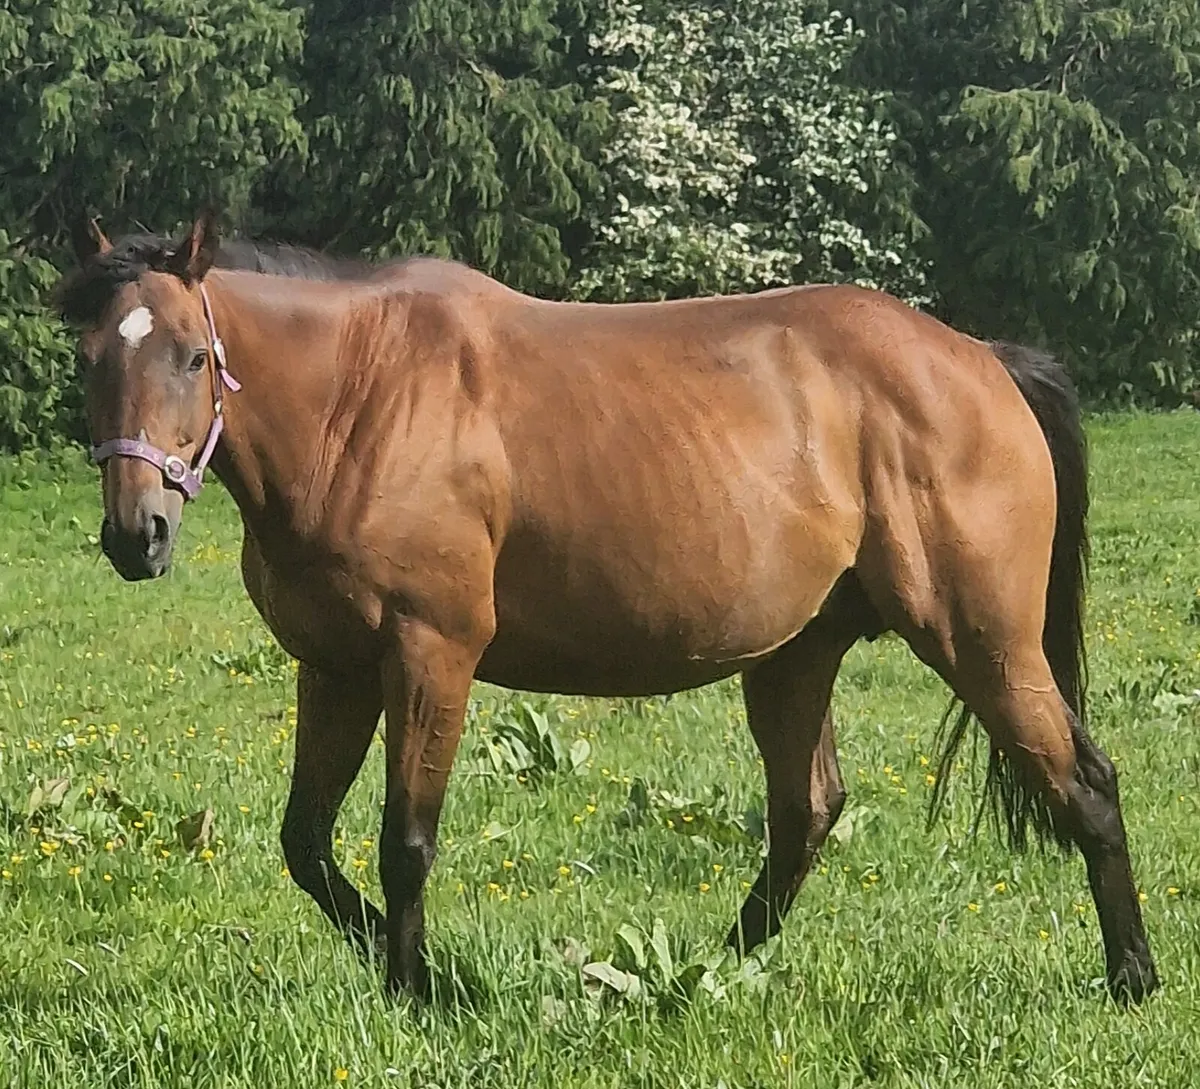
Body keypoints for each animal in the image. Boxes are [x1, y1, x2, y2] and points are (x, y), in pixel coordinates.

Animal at [54, 209, 1158, 1005]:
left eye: (194, 355)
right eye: (90, 356)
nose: (136, 533)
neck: (361, 398)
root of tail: (983, 360)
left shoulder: (430, 654)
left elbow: (405, 841)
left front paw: (423, 991)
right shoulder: (335, 668)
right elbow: (306, 844)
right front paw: (423, 974)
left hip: (984, 642)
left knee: (1087, 786)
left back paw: (1134, 978)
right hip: (798, 655)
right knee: (806, 815)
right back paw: (713, 972)